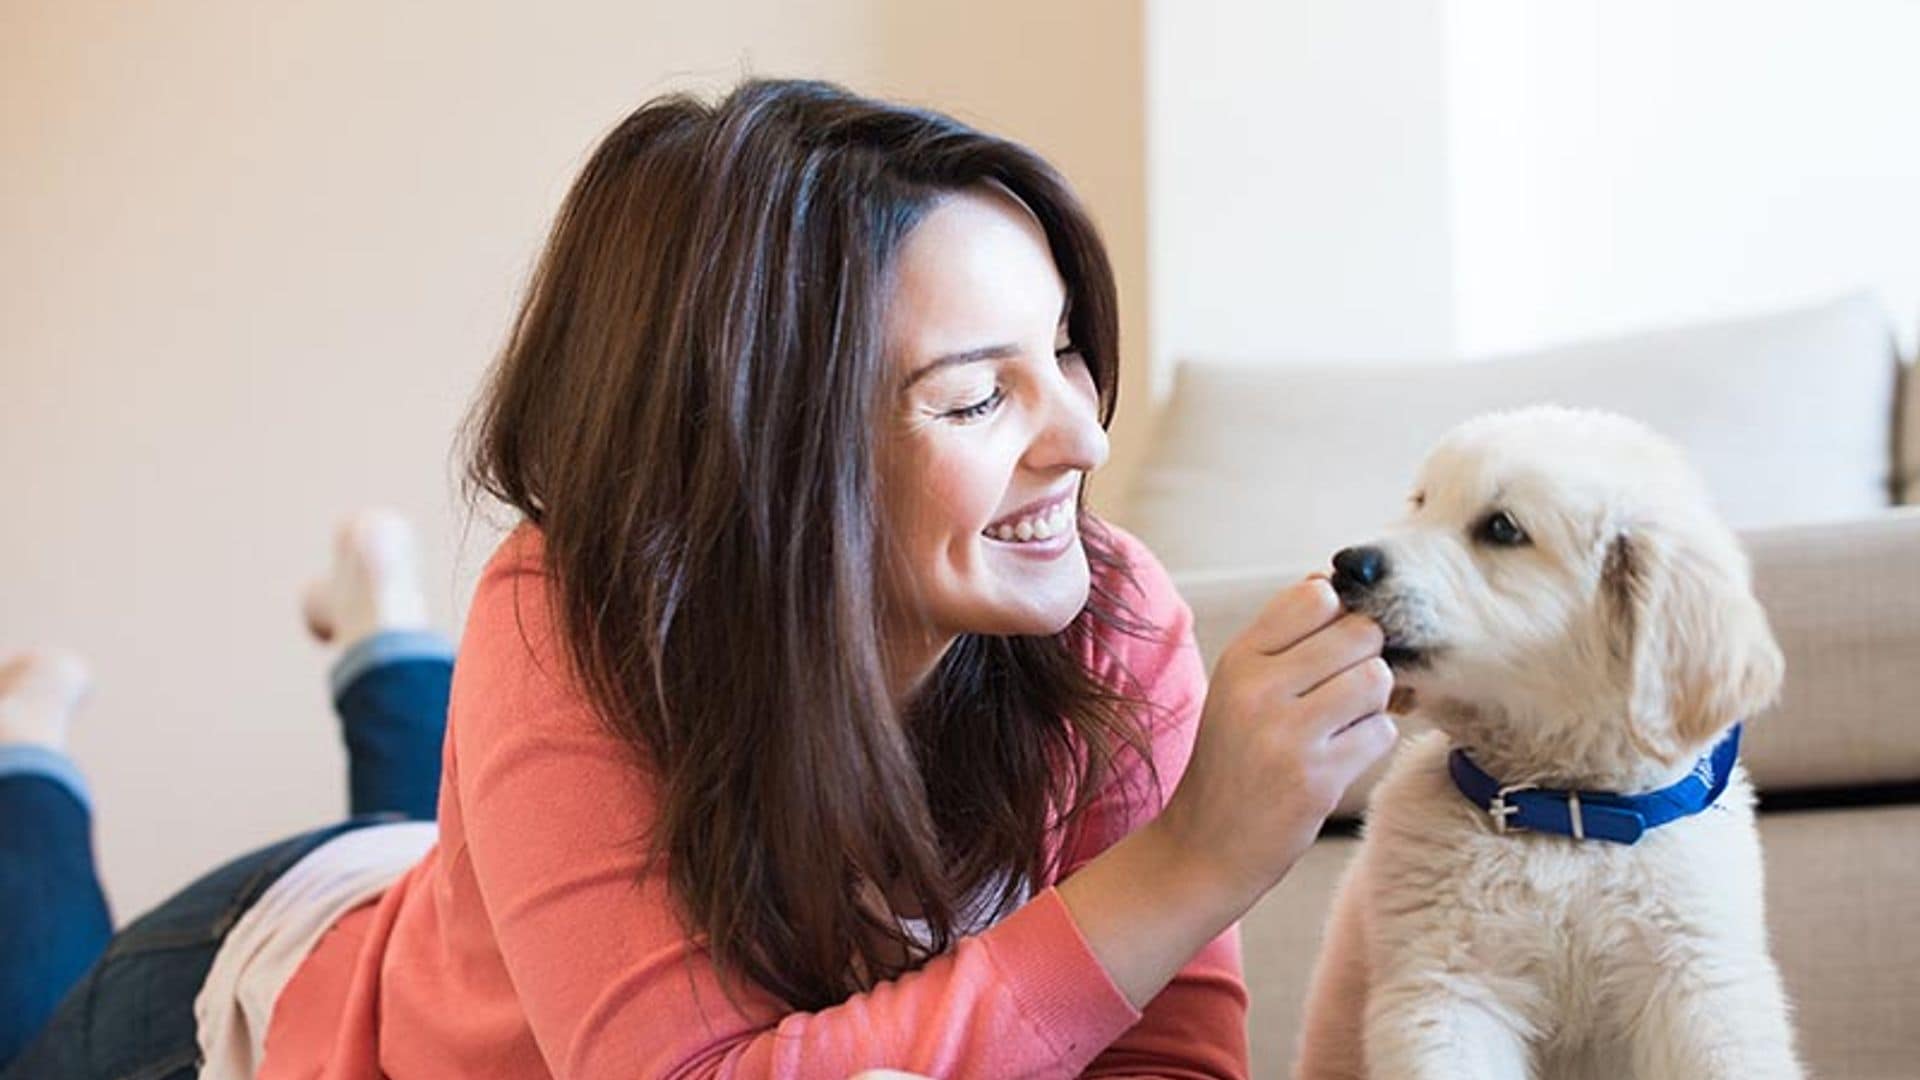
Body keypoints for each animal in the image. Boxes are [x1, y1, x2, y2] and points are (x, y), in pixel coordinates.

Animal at [1290, 405, 1797, 1076]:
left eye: (1502, 528)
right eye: (1421, 502)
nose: (1348, 563)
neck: (1563, 810)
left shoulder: (1697, 981)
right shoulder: (1449, 988)